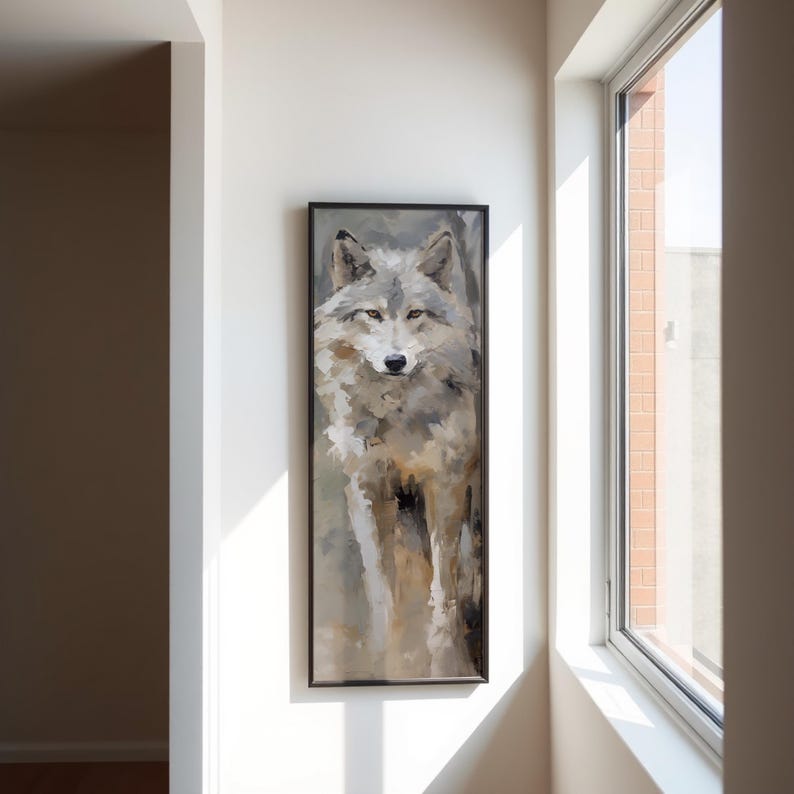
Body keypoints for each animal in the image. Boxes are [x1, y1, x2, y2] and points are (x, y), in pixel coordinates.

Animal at [314, 225, 483, 678]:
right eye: (372, 315)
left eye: (415, 314)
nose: (395, 361)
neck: (396, 413)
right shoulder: (367, 486)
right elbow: (379, 580)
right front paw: (381, 651)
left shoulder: (445, 484)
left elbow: (443, 580)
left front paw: (441, 653)